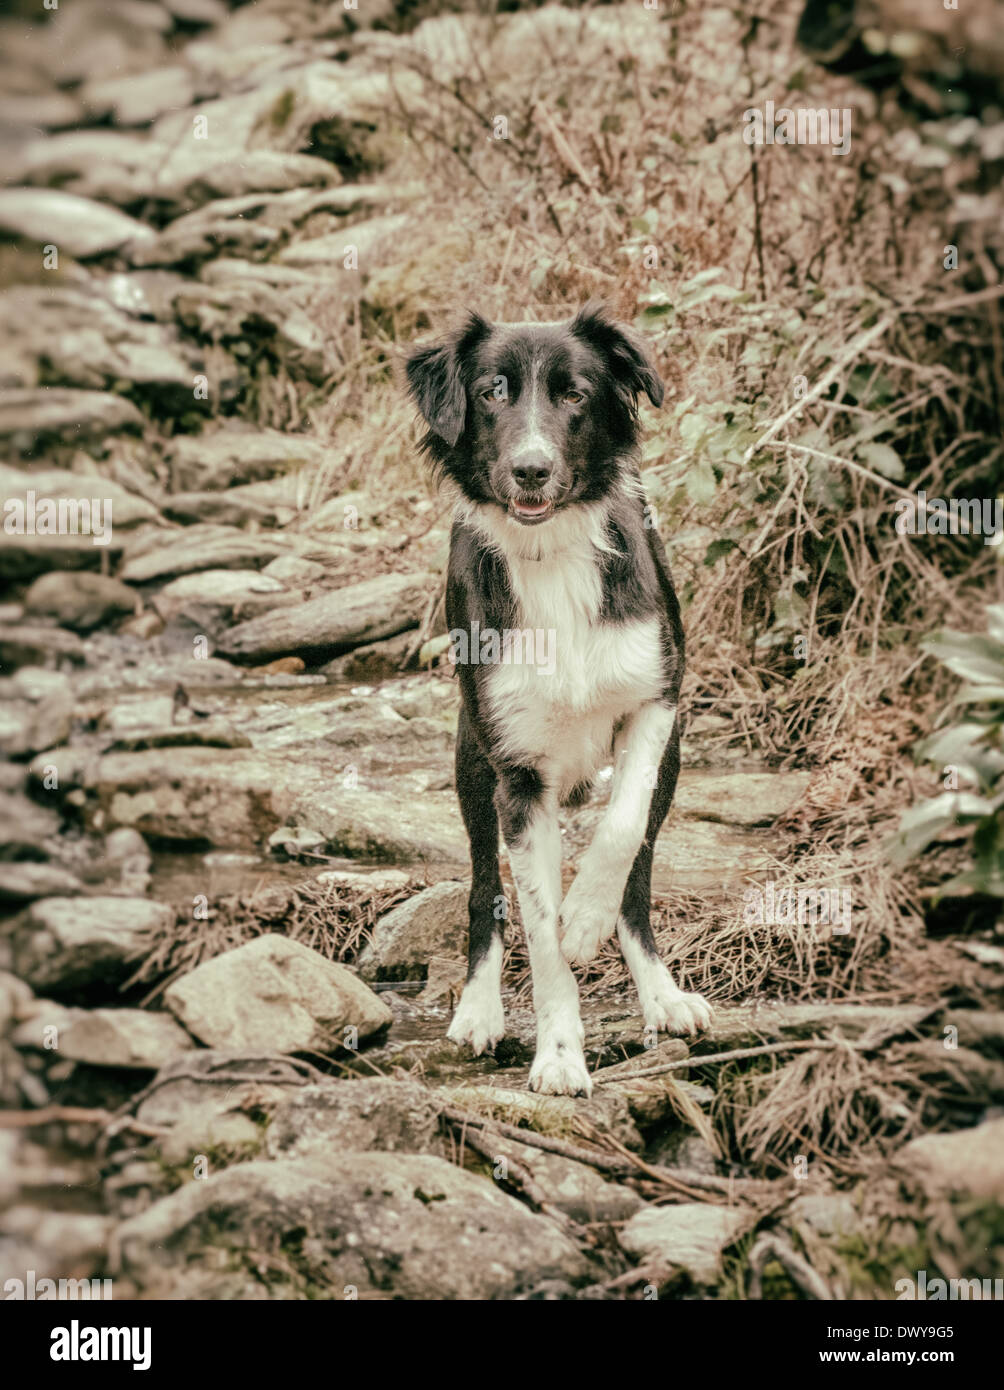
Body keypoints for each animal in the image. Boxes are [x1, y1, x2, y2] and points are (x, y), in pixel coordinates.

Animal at [403, 304, 709, 1095]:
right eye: (491, 392)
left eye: (575, 394)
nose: (531, 469)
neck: (553, 556)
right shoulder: (516, 776)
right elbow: (536, 932)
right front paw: (560, 1055)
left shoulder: (658, 701)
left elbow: (621, 830)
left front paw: (585, 918)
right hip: (469, 761)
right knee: (484, 890)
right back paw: (479, 1009)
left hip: (673, 764)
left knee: (639, 878)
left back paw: (658, 992)